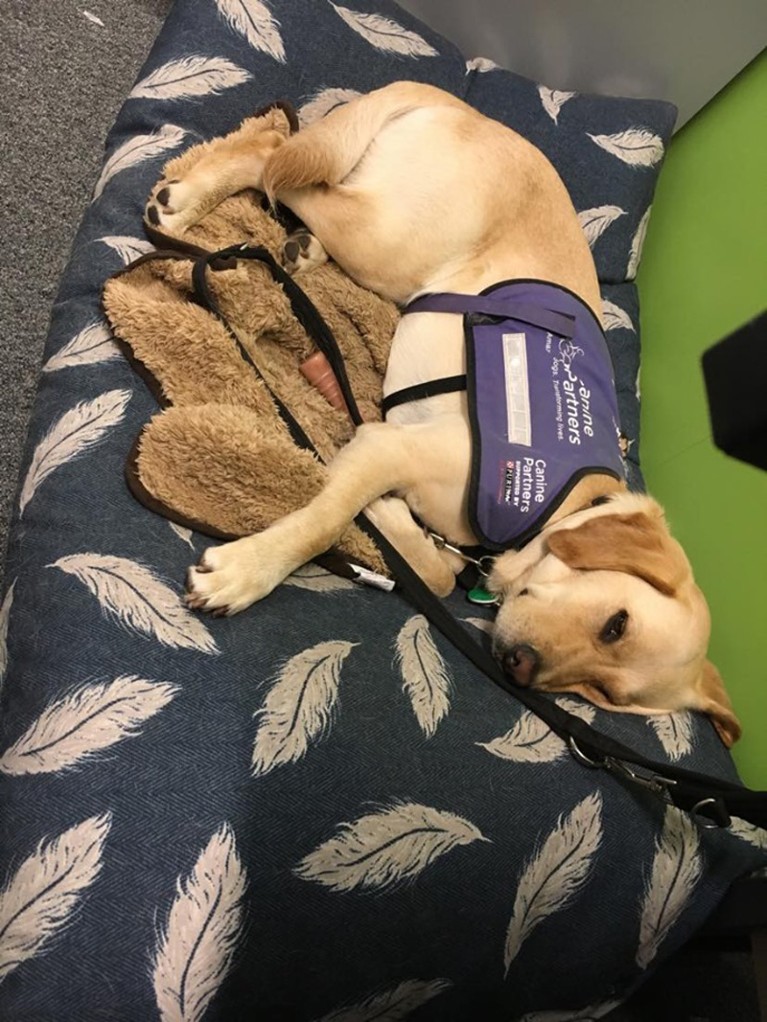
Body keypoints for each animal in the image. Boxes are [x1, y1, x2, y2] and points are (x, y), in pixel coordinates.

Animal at [147, 81, 740, 744]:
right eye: (617, 624)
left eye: (602, 693)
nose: (520, 668)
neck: (566, 503)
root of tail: (466, 108)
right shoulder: (393, 446)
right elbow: (324, 523)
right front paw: (245, 573)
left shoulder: (408, 481)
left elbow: (433, 573)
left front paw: (393, 522)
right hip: (388, 240)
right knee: (275, 153)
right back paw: (185, 202)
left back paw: (294, 243)